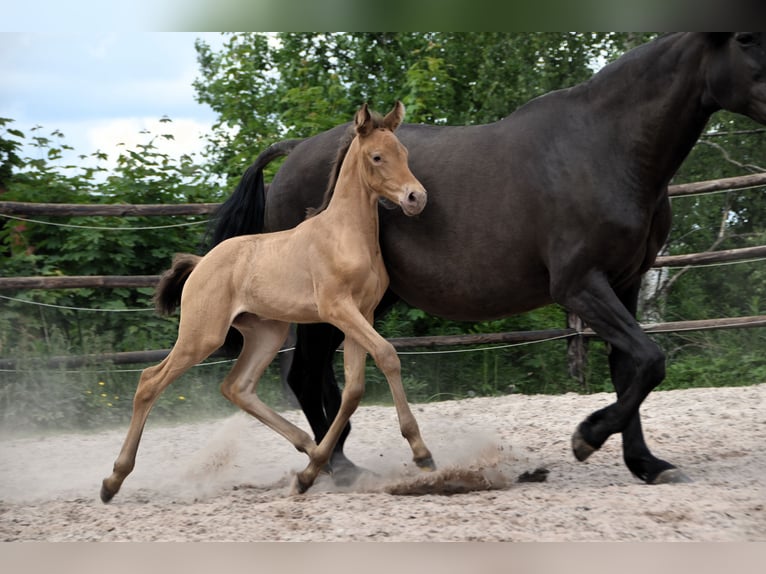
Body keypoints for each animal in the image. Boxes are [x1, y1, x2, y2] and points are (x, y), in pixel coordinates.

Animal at [100, 102, 434, 503]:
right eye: (377, 156)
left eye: (405, 153)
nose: (416, 198)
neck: (345, 234)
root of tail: (200, 264)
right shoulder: (338, 309)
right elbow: (387, 355)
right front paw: (422, 453)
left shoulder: (363, 313)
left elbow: (354, 389)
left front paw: (310, 472)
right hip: (202, 335)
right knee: (150, 380)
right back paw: (112, 481)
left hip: (266, 333)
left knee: (237, 387)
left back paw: (311, 452)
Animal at [211, 33, 766, 486]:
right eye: (745, 39)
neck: (603, 149)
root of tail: (294, 151)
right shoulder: (581, 285)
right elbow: (650, 360)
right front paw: (587, 437)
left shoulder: (626, 282)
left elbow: (631, 368)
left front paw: (645, 463)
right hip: (324, 304)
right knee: (305, 376)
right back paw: (337, 468)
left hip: (361, 302)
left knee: (322, 375)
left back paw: (337, 460)